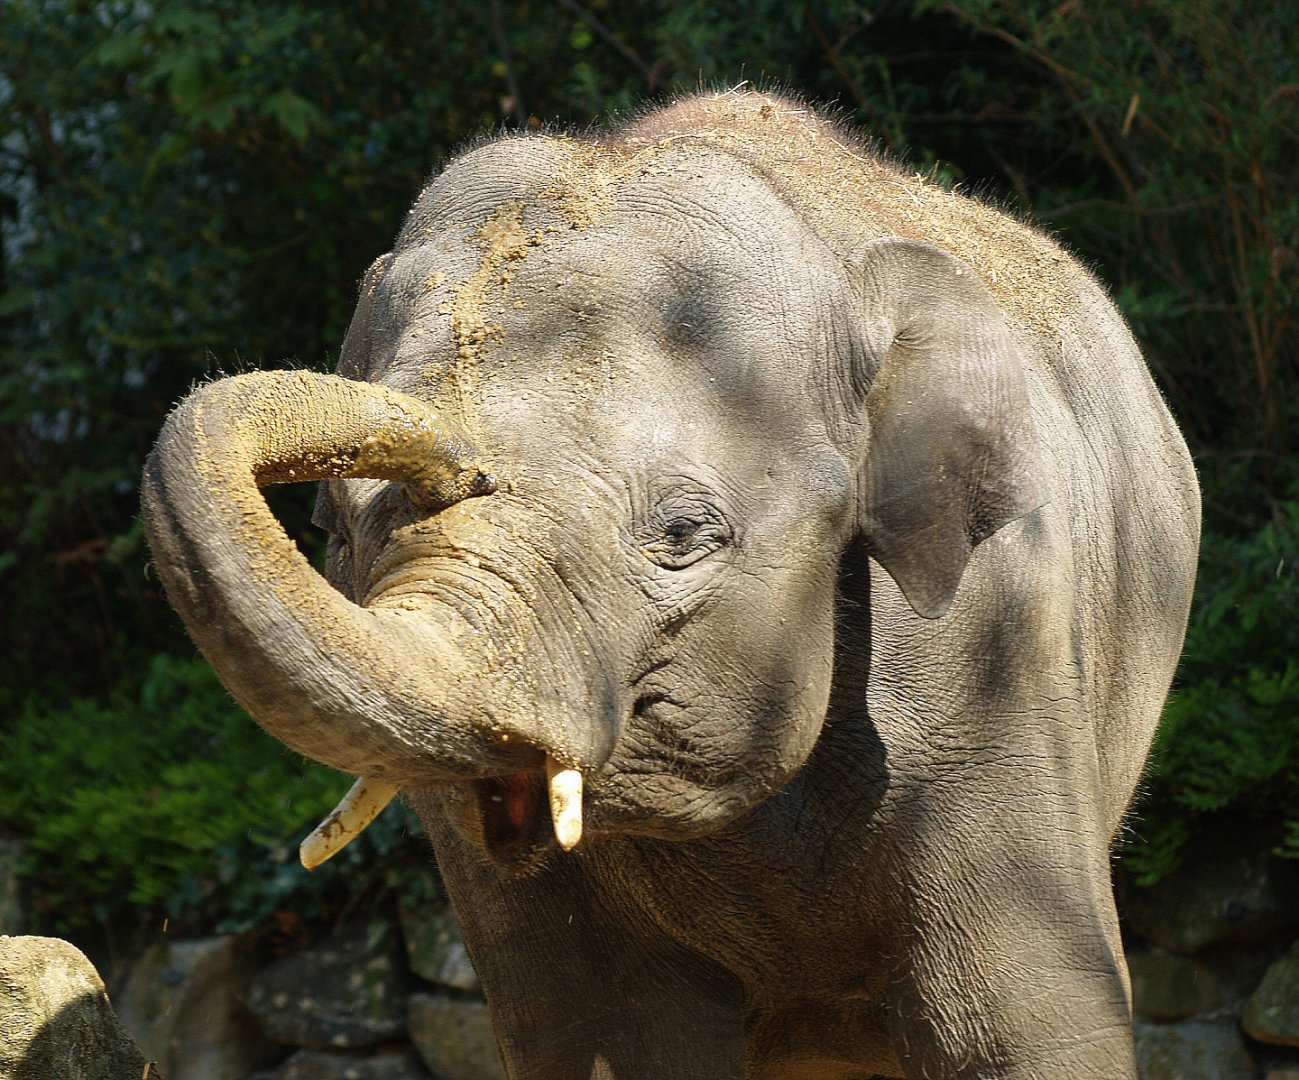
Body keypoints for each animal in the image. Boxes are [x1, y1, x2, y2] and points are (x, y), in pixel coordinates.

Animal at [142, 90, 1199, 1079]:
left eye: (684, 534)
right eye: (333, 528)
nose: (448, 450)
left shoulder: (991, 639)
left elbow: (1028, 1026)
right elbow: (611, 1032)